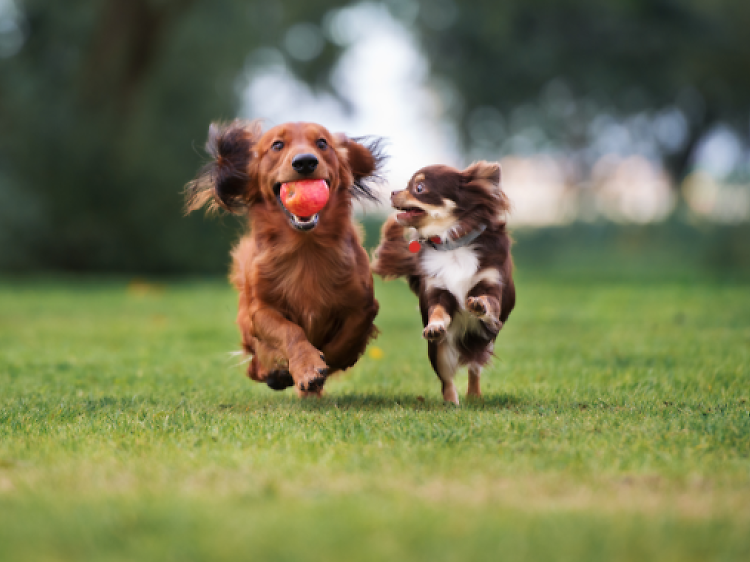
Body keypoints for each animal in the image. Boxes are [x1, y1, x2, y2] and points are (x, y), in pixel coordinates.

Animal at [187, 120, 384, 396]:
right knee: (255, 366)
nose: (305, 162)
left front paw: (323, 363)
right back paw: (277, 374)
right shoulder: (260, 311)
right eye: (277, 145)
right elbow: (290, 331)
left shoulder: (364, 305)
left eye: (322, 143)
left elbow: (345, 340)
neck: (305, 249)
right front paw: (307, 366)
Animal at [372, 162, 516, 402]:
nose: (392, 192)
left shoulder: (492, 284)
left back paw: (474, 396)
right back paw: (451, 403)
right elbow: (438, 312)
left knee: (474, 367)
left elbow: (489, 301)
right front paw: (435, 326)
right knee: (447, 380)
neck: (452, 244)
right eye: (407, 185)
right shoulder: (437, 291)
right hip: (439, 352)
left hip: (482, 341)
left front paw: (479, 304)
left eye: (419, 188)